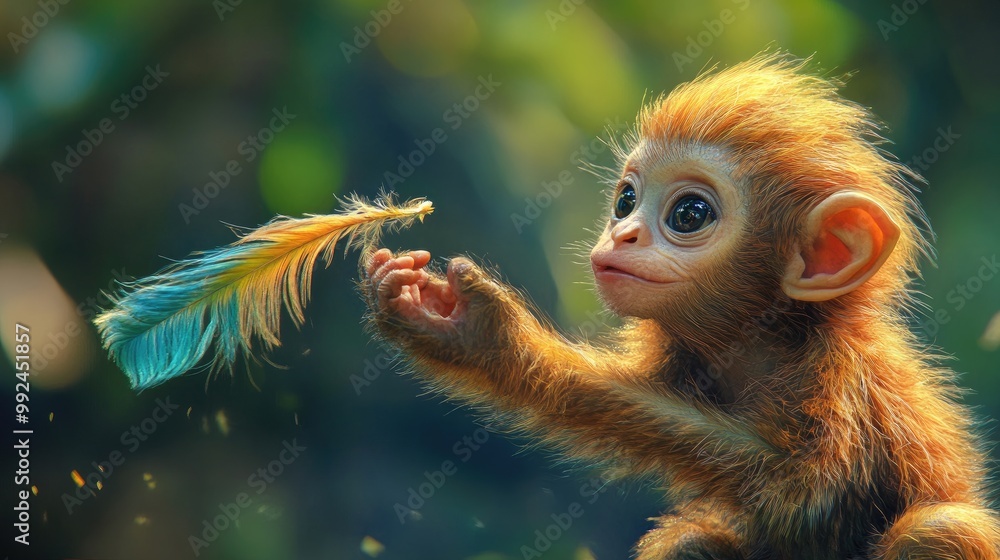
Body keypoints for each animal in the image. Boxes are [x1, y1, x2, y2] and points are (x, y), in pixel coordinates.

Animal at [362, 53, 1000, 559]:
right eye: (625, 201)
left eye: (689, 215)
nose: (623, 236)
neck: (761, 341)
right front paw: (450, 324)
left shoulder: (838, 382)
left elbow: (796, 488)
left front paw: (494, 339)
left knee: (938, 530)